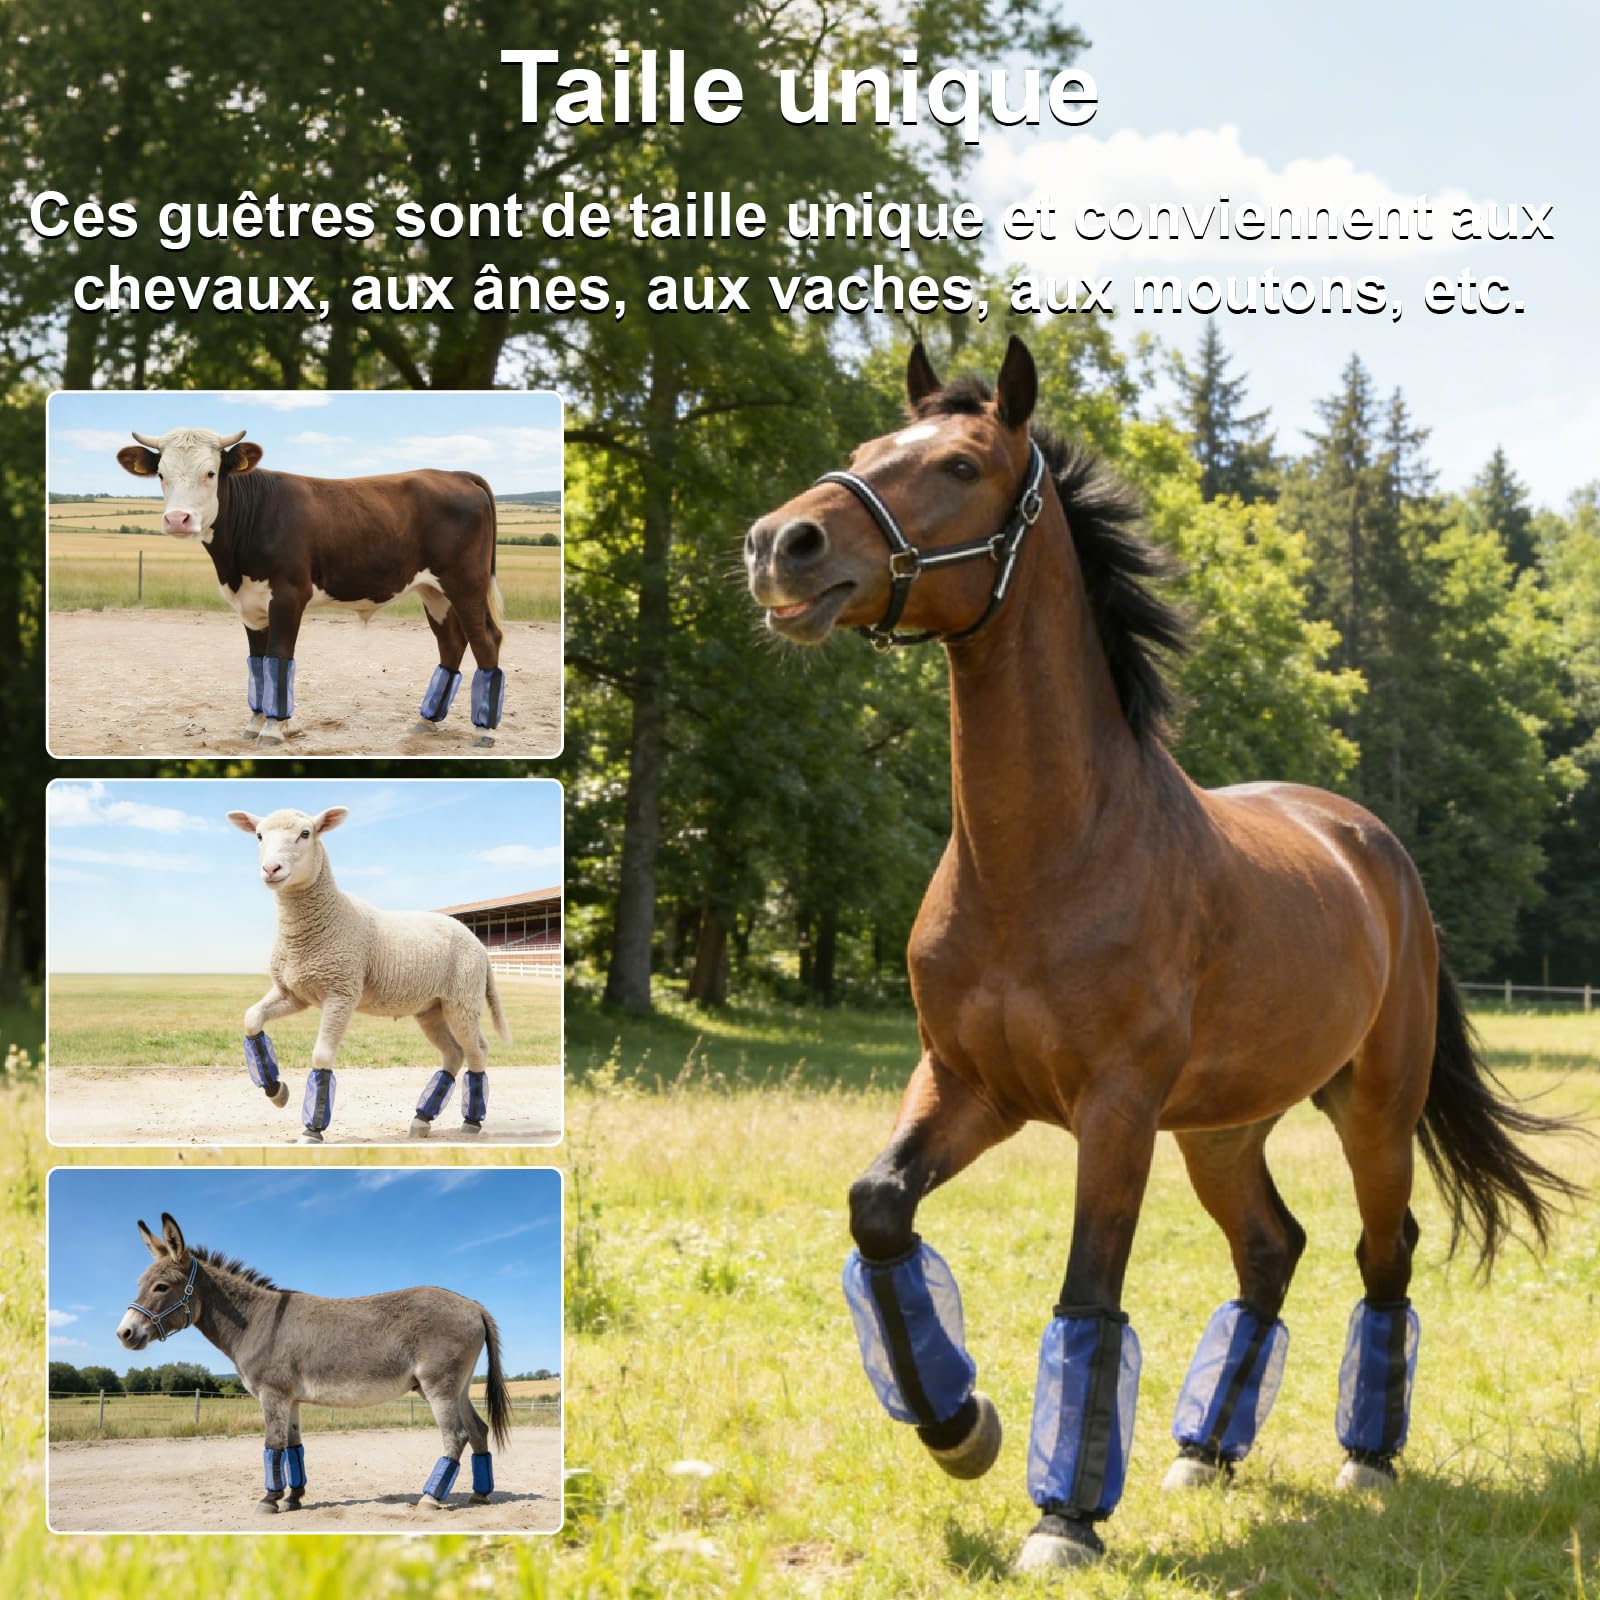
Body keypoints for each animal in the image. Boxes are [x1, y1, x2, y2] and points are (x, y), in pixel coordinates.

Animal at [115, 1212, 512, 1515]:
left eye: (161, 1287)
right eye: (141, 1283)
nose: (124, 1333)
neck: (256, 1321)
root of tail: (473, 1304)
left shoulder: (272, 1394)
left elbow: (272, 1444)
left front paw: (269, 1500)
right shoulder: (290, 1398)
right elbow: (293, 1448)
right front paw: (293, 1499)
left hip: (438, 1385)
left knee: (455, 1435)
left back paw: (430, 1498)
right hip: (460, 1386)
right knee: (478, 1430)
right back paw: (480, 1495)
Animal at [742, 335, 1580, 1572]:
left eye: (957, 463)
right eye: (865, 448)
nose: (780, 545)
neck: (1045, 856)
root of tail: (1372, 845)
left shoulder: (1115, 1109)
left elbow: (1089, 1289)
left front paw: (1065, 1517)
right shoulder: (968, 1085)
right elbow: (879, 1208)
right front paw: (962, 1426)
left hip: (1371, 1109)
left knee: (1383, 1251)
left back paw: (1367, 1456)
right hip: (1222, 1130)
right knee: (1271, 1248)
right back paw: (1205, 1448)